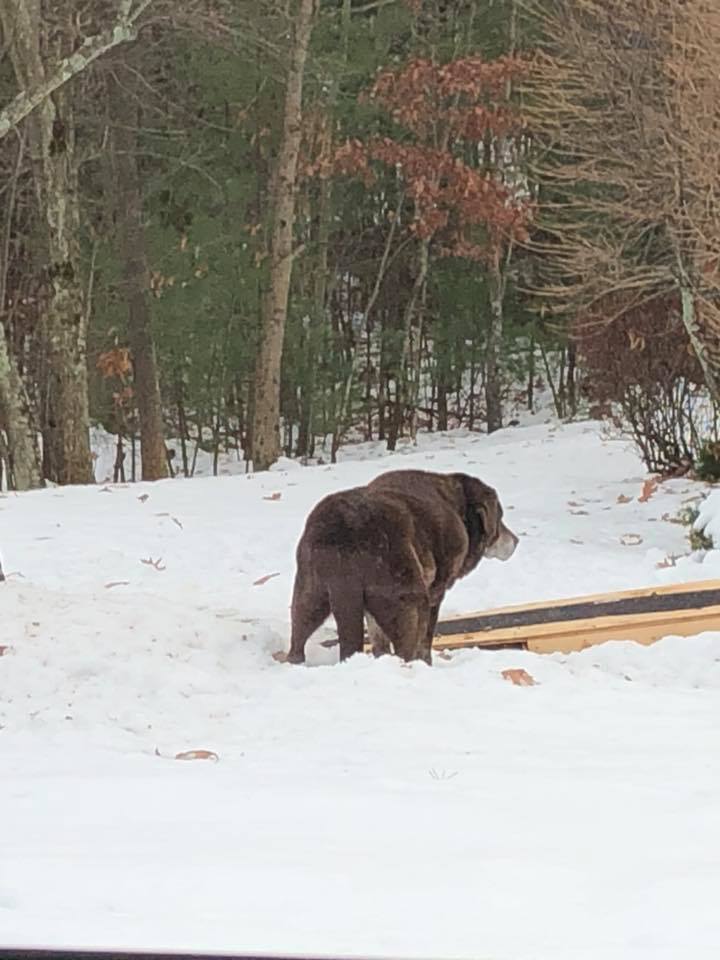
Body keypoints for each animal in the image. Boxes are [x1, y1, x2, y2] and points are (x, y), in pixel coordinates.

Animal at [286, 468, 516, 664]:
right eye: (500, 518)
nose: (516, 540)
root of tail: (345, 534)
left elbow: (378, 637)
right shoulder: (436, 592)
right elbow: (426, 638)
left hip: (309, 594)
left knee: (297, 640)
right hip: (407, 600)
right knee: (406, 650)